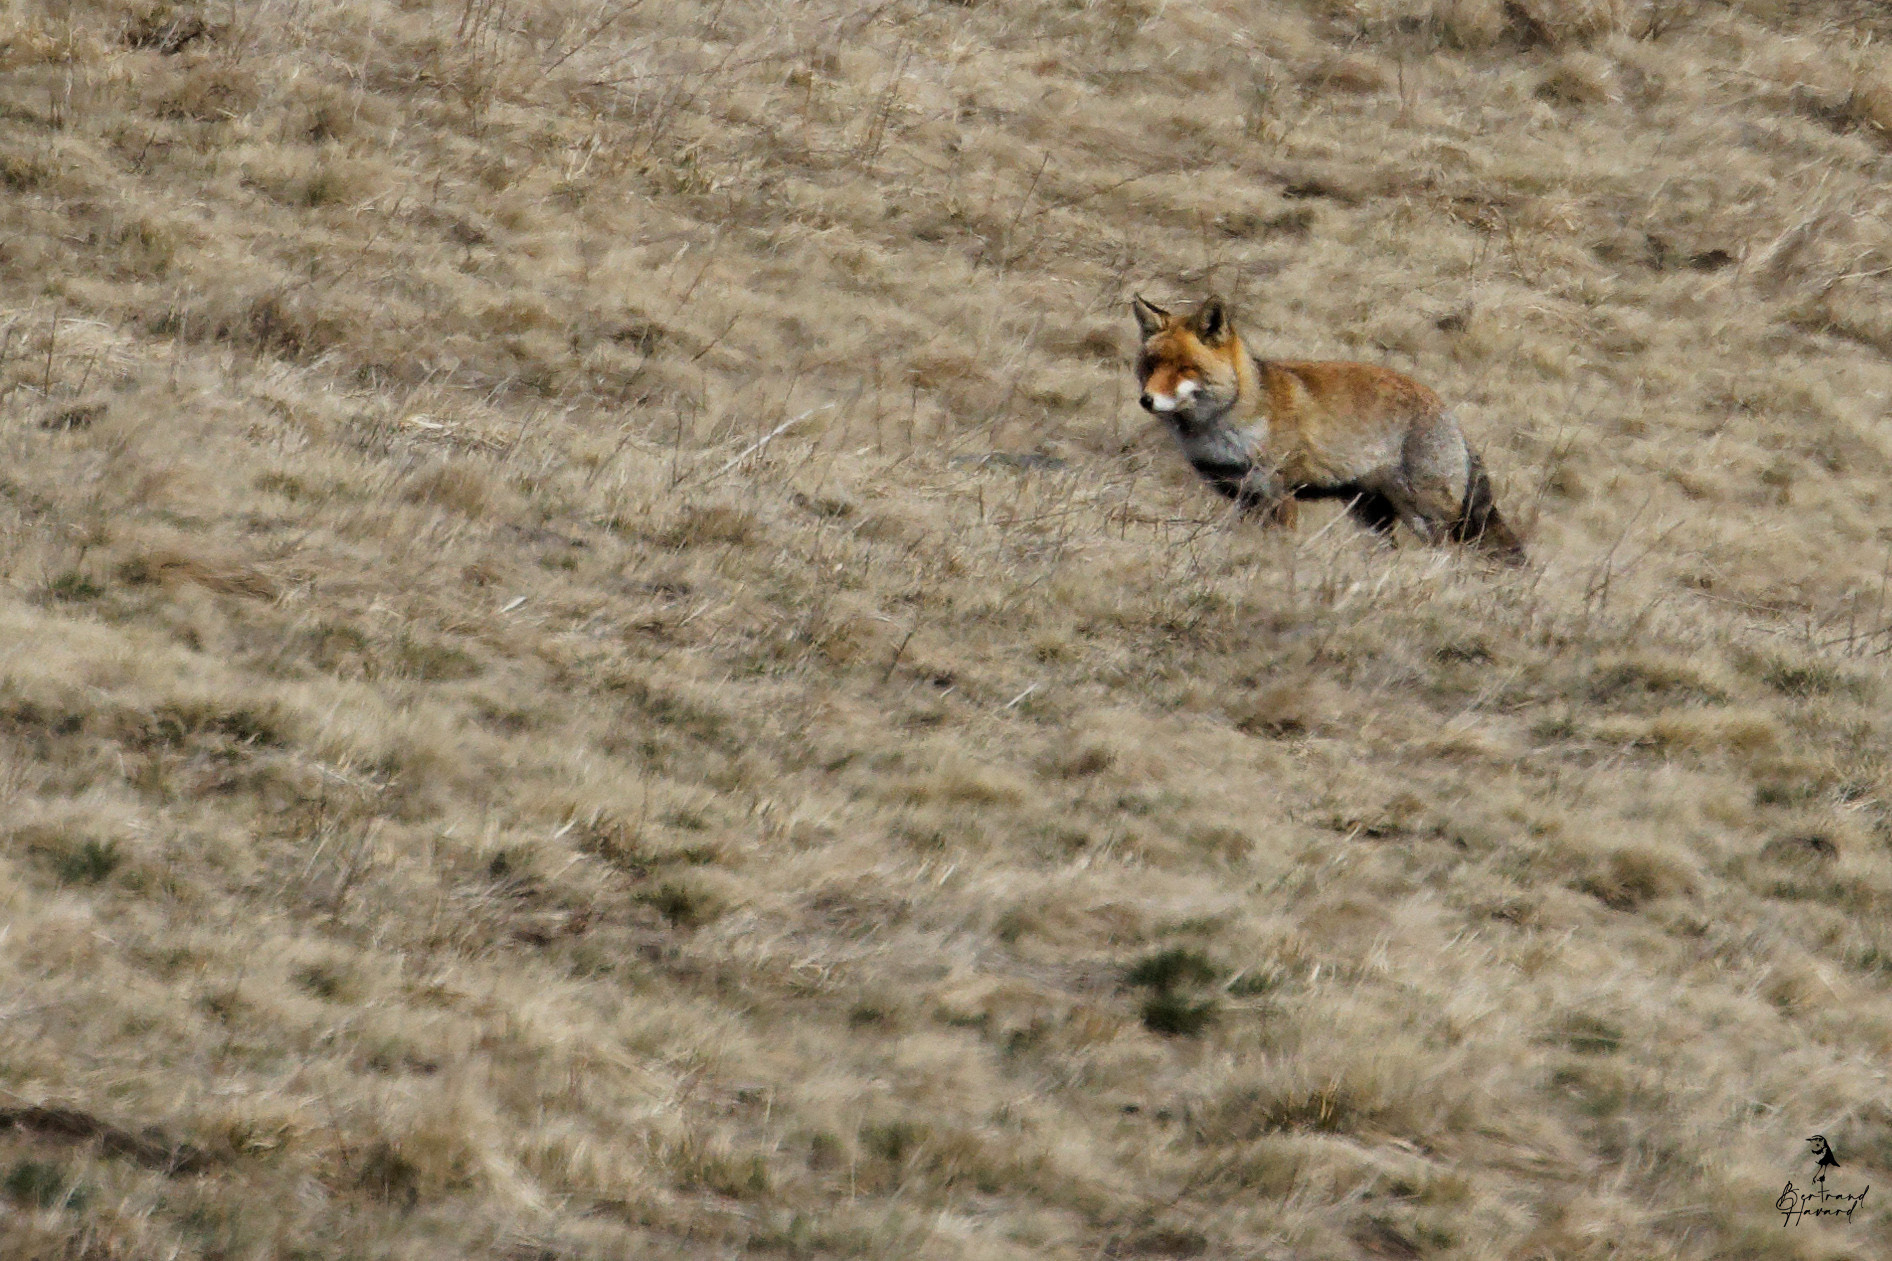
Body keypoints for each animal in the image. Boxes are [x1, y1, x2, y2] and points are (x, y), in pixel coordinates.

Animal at [1132, 294, 1524, 562]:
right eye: (1150, 365)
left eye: (1185, 368)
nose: (1146, 400)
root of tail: (1448, 413)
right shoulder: (1240, 494)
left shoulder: (1278, 493)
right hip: (1371, 514)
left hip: (1423, 515)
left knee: (1449, 553)